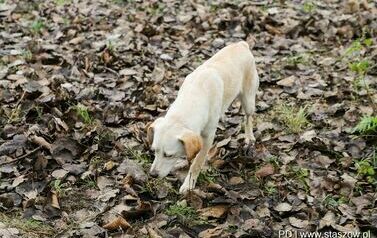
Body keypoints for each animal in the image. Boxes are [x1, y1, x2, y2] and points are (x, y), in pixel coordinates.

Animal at [147, 40, 258, 193]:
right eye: (154, 151)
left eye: (169, 155)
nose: (152, 175)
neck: (194, 95)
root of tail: (241, 44)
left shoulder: (207, 138)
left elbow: (197, 163)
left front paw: (189, 184)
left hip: (248, 100)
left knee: (248, 118)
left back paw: (249, 137)